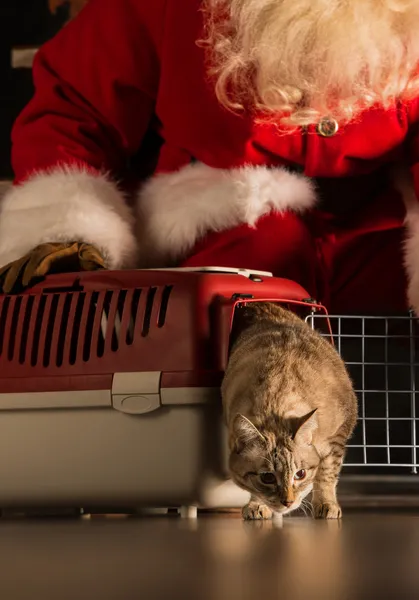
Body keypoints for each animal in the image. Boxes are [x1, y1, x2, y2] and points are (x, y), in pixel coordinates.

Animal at [223, 302, 358, 516]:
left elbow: (326, 474)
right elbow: (254, 490)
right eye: (267, 477)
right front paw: (257, 506)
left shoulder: (337, 437)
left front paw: (326, 505)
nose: (288, 502)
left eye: (300, 474)